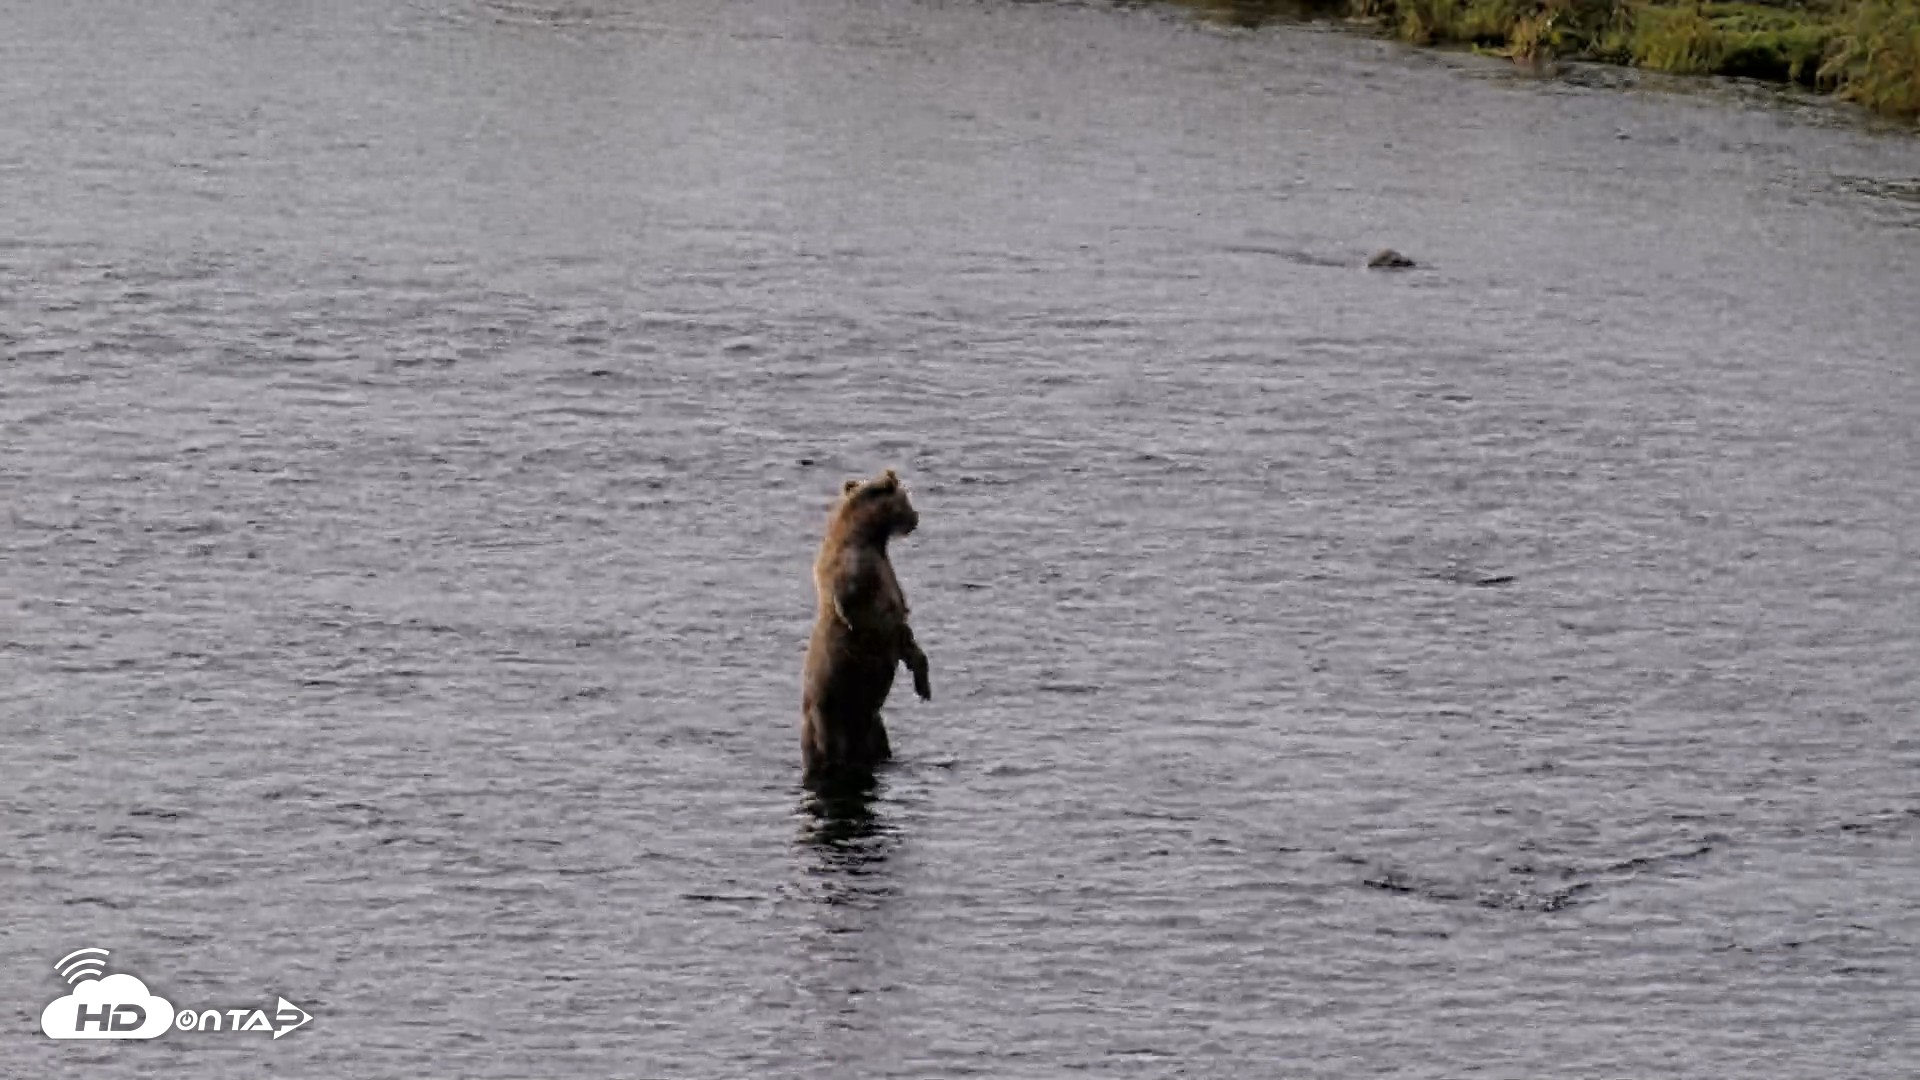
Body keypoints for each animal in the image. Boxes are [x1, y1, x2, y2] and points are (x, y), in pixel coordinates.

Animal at [800, 468, 932, 781]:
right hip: (827, 717)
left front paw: (923, 685)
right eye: (907, 497)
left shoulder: (887, 579)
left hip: (872, 725)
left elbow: (905, 630)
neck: (870, 538)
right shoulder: (852, 572)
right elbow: (857, 609)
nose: (916, 518)